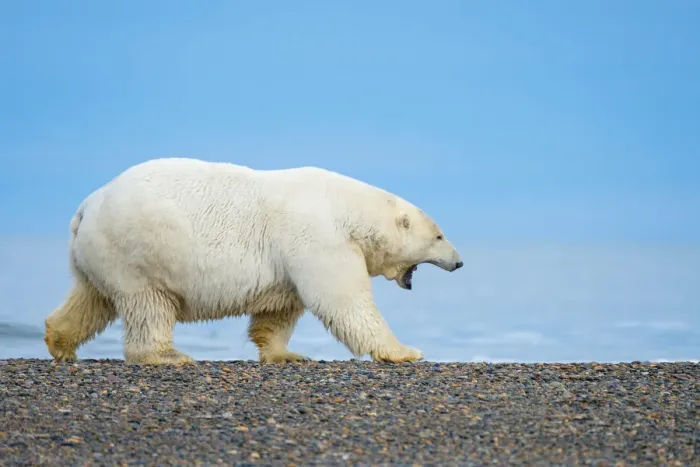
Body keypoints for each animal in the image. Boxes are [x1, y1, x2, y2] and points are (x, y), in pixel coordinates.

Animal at [44, 157, 463, 365]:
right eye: (440, 235)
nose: (459, 263)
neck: (348, 210)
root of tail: (87, 206)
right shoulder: (317, 236)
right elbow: (343, 301)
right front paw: (405, 351)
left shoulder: (291, 258)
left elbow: (280, 309)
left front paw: (288, 354)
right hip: (138, 251)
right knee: (149, 304)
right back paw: (167, 356)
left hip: (99, 253)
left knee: (91, 299)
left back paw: (59, 341)